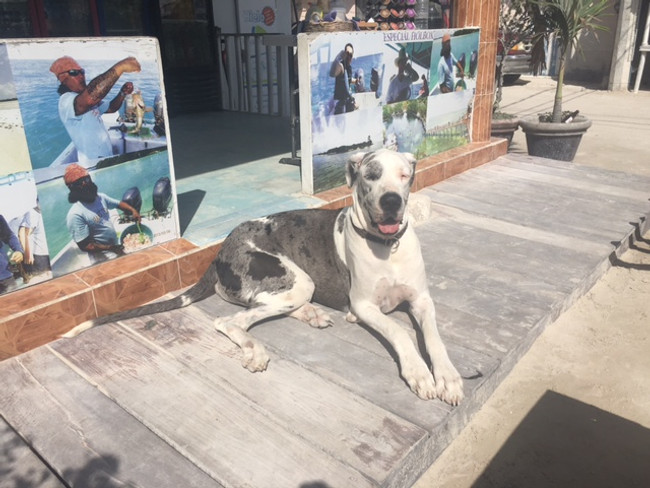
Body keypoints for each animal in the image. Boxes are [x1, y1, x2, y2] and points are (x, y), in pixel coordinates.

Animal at [64, 151, 460, 406]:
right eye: (370, 175)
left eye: (405, 175)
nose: (392, 201)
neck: (387, 247)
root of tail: (220, 250)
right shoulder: (363, 306)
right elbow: (400, 332)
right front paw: (419, 373)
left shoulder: (422, 300)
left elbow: (434, 337)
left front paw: (448, 377)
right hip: (293, 279)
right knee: (232, 320)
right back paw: (255, 348)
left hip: (297, 285)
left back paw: (311, 315)